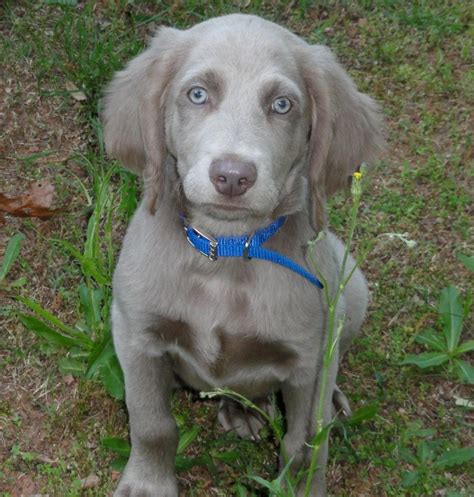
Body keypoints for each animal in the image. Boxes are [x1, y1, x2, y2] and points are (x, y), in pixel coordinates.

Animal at [103, 13, 386, 494]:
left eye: (282, 105)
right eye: (198, 94)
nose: (233, 176)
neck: (227, 250)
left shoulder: (309, 360)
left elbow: (305, 444)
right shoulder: (135, 333)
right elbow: (152, 423)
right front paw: (147, 484)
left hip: (354, 288)